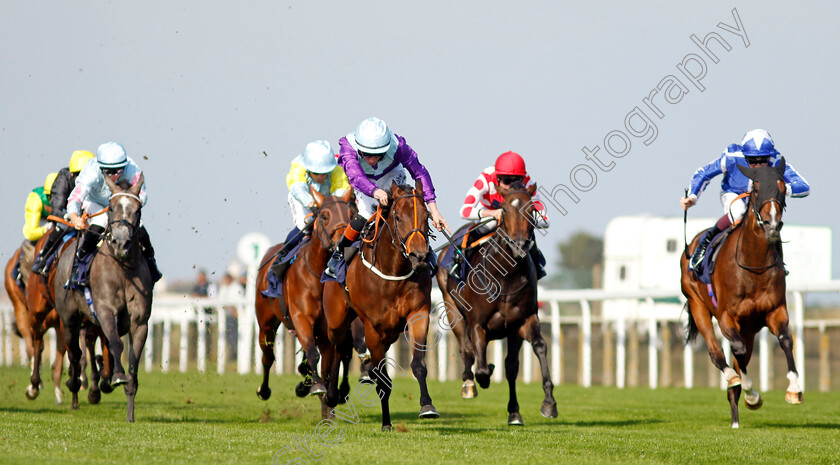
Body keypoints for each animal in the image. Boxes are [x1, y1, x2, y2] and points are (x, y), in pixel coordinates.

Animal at [54, 173, 154, 420]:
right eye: (111, 208)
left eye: (137, 209)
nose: (121, 243)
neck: (123, 269)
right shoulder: (106, 311)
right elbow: (116, 344)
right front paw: (117, 376)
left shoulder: (140, 322)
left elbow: (133, 360)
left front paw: (130, 412)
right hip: (69, 320)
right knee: (75, 353)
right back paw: (74, 390)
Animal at [251, 188, 352, 416]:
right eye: (324, 216)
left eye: (351, 215)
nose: (342, 242)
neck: (317, 277)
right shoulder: (301, 317)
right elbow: (313, 354)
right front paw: (316, 387)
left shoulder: (327, 328)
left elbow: (328, 364)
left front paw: (327, 405)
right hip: (266, 324)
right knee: (268, 356)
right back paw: (264, 390)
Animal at [322, 180, 440, 432]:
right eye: (398, 217)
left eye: (427, 216)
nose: (420, 257)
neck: (392, 272)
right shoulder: (372, 329)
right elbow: (382, 379)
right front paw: (386, 423)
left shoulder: (418, 314)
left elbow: (418, 364)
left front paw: (427, 406)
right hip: (337, 321)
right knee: (336, 350)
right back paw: (331, 395)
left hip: (390, 333)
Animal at [434, 180, 556, 424]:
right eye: (505, 210)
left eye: (532, 210)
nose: (519, 246)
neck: (505, 277)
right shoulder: (478, 324)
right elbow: (480, 365)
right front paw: (483, 375)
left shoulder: (523, 321)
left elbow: (535, 350)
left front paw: (546, 403)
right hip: (452, 309)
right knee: (466, 349)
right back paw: (469, 383)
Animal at [684, 160, 800, 428]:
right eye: (755, 188)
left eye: (782, 186)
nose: (771, 224)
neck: (753, 265)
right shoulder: (727, 316)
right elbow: (736, 351)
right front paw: (752, 393)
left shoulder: (775, 311)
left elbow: (785, 340)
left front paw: (794, 389)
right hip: (697, 305)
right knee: (717, 354)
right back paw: (734, 386)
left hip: (749, 328)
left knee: (741, 359)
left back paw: (736, 413)